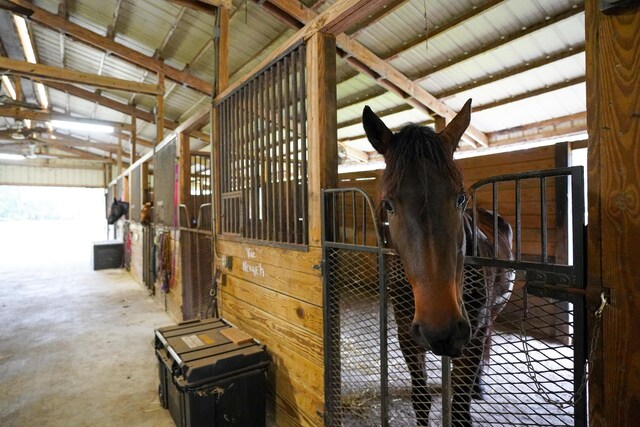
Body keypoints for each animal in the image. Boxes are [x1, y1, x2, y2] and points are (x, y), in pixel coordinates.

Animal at [360, 98, 516, 426]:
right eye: (388, 204)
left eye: (460, 198)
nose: (441, 330)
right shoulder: (407, 335)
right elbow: (420, 400)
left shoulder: (470, 334)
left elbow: (459, 411)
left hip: (492, 314)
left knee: (487, 341)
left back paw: (478, 386)